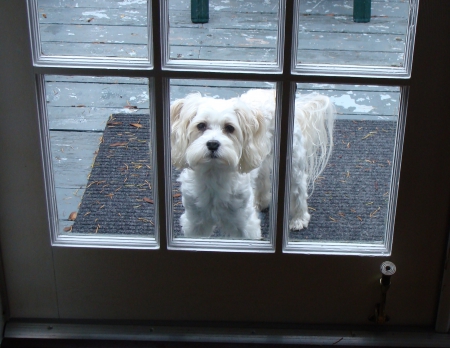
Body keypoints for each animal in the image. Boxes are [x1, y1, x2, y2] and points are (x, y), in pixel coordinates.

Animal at [170, 89, 334, 239]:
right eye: (201, 126)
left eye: (230, 128)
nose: (212, 144)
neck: (214, 173)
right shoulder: (195, 223)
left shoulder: (244, 224)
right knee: (262, 179)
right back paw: (261, 201)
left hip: (293, 164)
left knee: (298, 190)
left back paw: (299, 218)